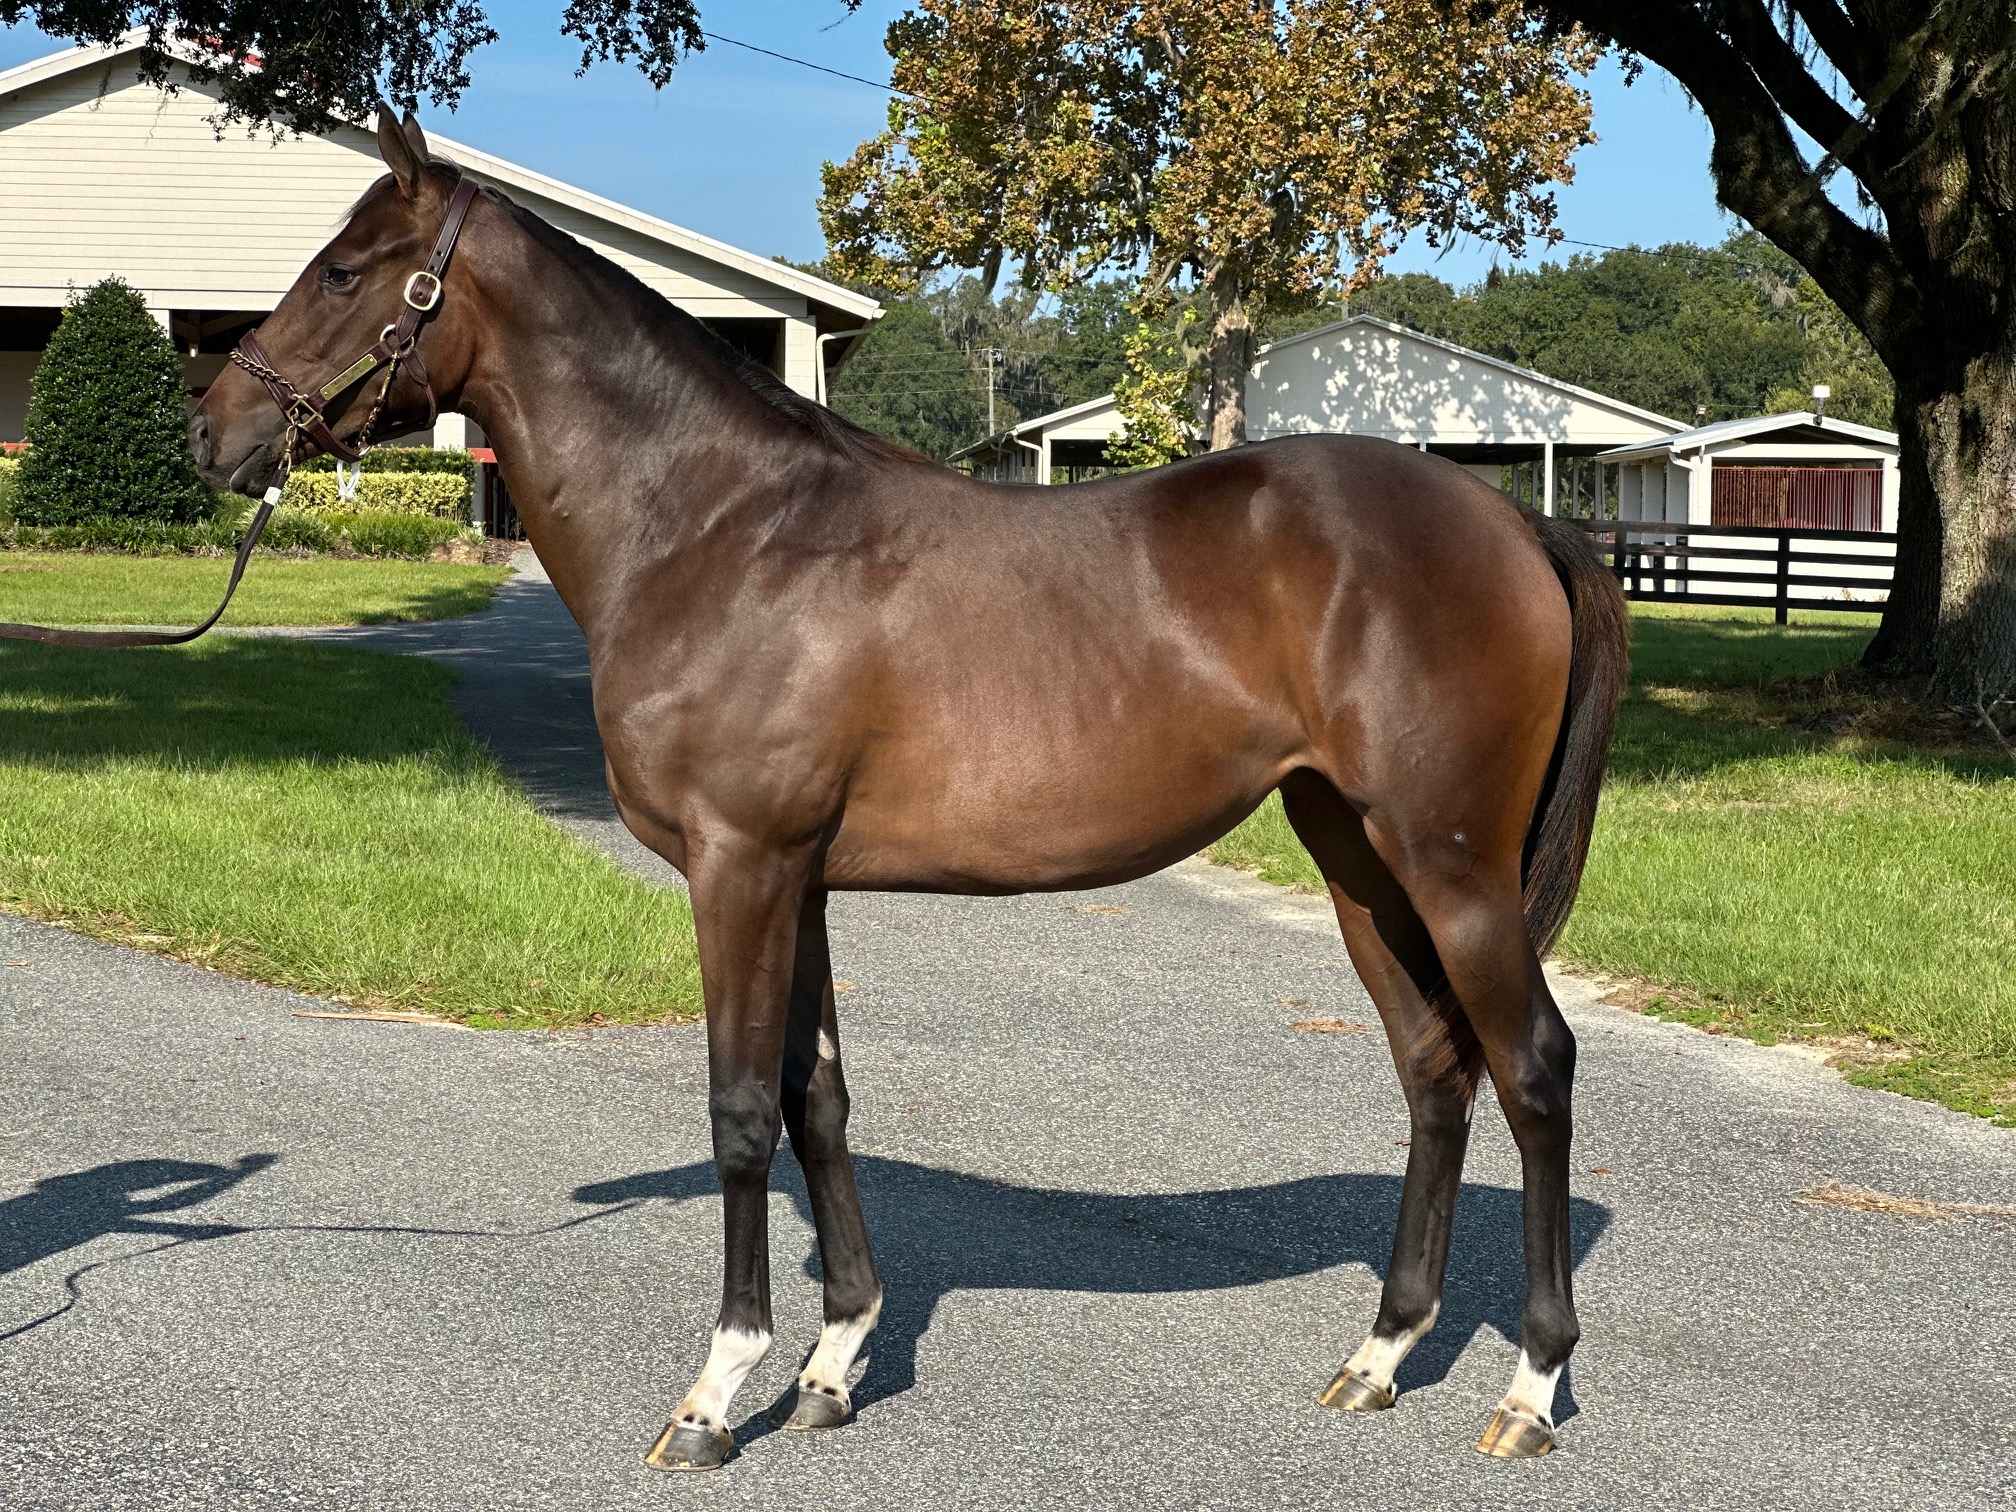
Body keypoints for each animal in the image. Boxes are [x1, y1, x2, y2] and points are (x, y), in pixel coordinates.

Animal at [190, 110, 1628, 1470]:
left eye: (345, 269)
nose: (212, 432)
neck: (719, 530)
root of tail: (1516, 520)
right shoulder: (802, 879)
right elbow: (815, 1101)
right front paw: (832, 1365)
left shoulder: (740, 867)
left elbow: (739, 1112)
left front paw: (717, 1394)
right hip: (1358, 860)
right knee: (1435, 1068)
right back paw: (1381, 1355)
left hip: (1449, 866)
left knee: (1533, 1068)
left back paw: (1530, 1389)